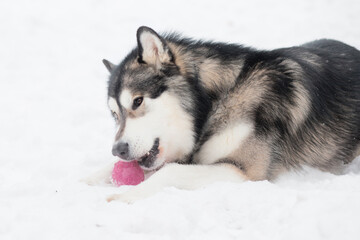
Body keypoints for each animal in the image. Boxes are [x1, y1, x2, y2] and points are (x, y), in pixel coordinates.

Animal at [94, 26, 358, 202]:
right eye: (114, 114)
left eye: (137, 101)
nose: (118, 150)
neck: (217, 100)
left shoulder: (246, 171)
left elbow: (172, 170)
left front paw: (122, 197)